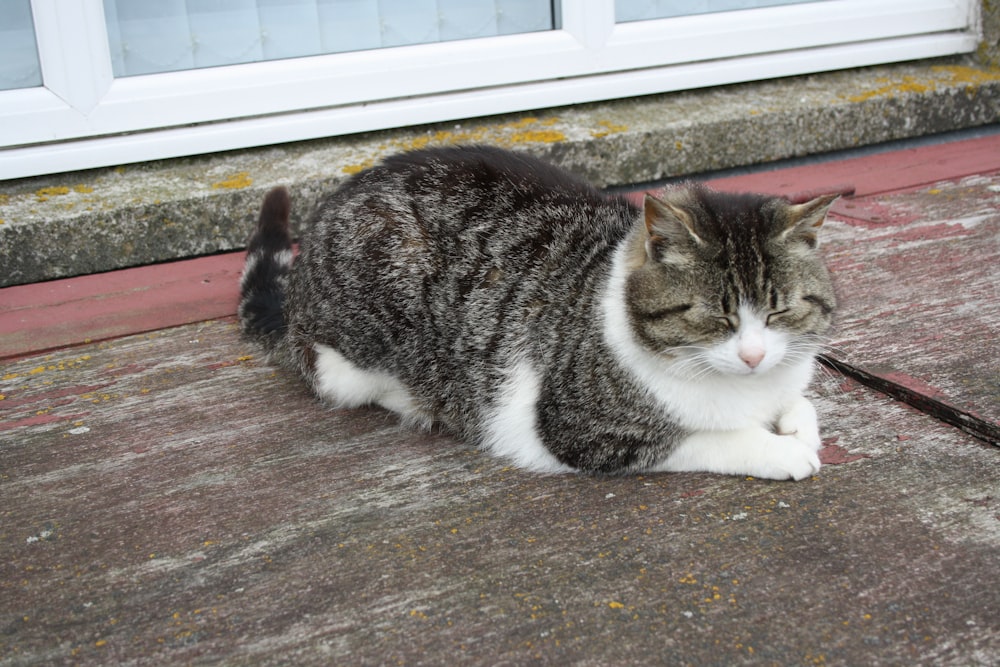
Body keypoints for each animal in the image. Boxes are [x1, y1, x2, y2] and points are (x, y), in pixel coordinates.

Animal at [240, 146, 836, 480]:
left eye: (779, 312)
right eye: (716, 316)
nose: (753, 356)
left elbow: (800, 402)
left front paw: (796, 424)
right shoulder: (579, 429)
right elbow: (708, 438)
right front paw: (780, 451)